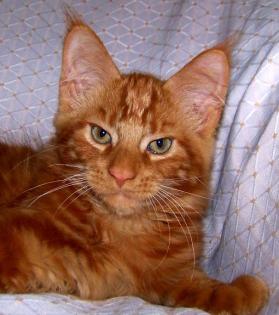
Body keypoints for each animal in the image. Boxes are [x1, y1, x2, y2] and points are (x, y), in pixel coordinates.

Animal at [0, 12, 270, 315]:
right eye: (100, 134)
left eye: (160, 145)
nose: (121, 174)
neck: (124, 228)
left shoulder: (167, 277)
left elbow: (197, 289)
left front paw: (236, 290)